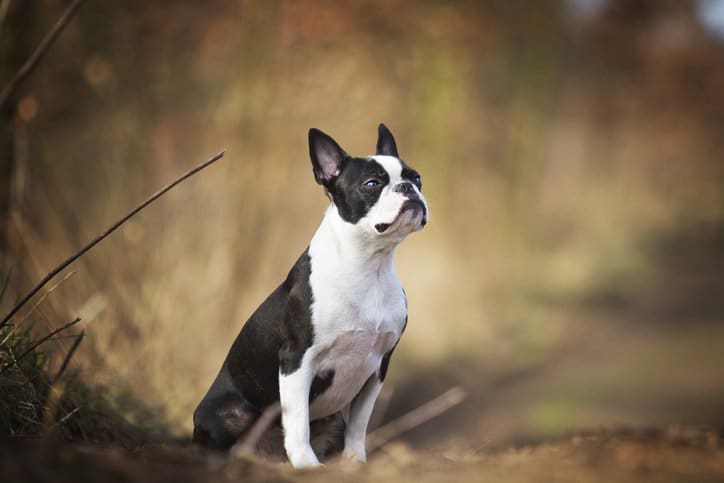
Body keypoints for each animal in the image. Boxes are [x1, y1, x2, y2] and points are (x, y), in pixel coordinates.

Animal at [194, 124, 430, 468]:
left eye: (416, 178)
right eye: (372, 184)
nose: (408, 189)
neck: (369, 266)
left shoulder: (378, 365)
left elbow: (360, 422)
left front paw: (354, 463)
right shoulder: (297, 359)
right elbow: (297, 420)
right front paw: (306, 465)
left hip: (333, 421)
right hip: (227, 413)